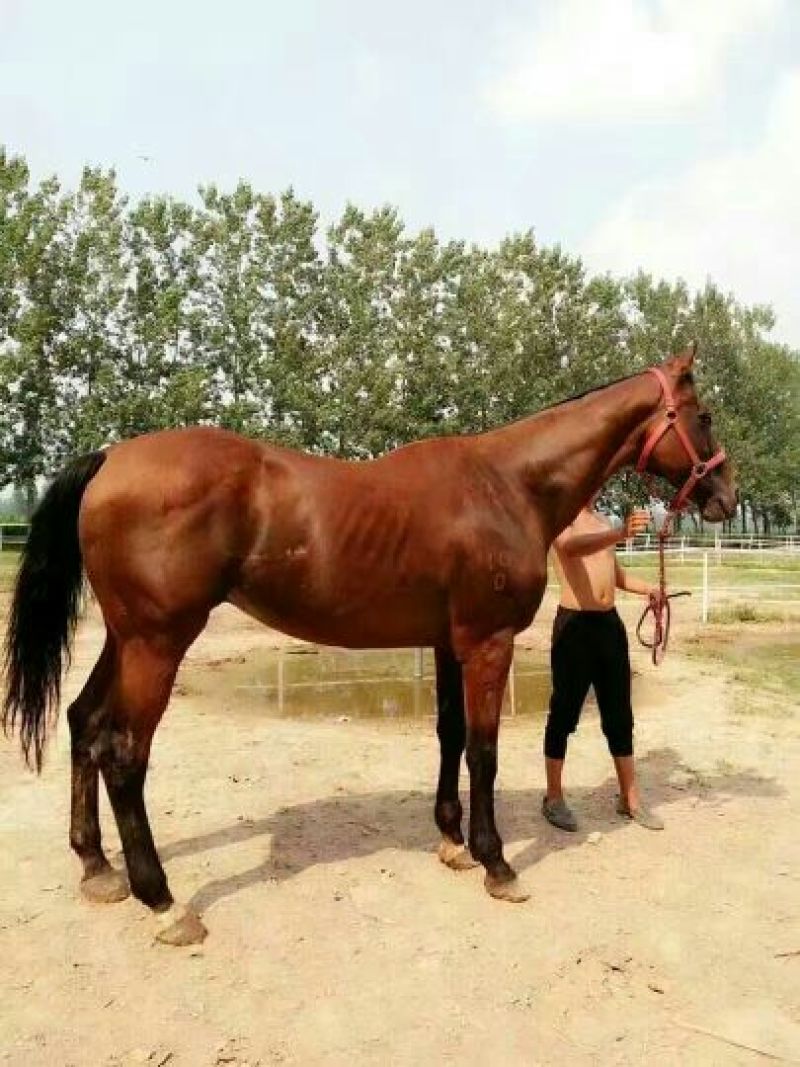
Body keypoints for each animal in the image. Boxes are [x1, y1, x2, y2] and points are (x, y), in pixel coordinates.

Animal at [2, 344, 736, 945]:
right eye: (702, 415)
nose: (727, 497)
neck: (507, 484)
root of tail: (109, 459)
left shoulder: (448, 642)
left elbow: (449, 735)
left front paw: (451, 840)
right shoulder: (488, 642)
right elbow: (485, 750)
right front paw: (496, 861)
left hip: (126, 637)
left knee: (84, 724)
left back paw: (97, 868)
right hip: (158, 641)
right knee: (125, 753)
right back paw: (163, 902)